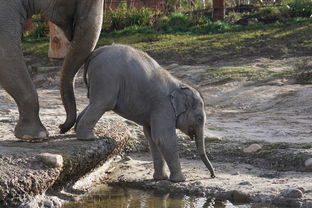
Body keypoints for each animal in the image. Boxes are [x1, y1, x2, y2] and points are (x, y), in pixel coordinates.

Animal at [77, 44, 216, 182]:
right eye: (199, 118)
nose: (212, 175)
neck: (180, 84)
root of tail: (97, 51)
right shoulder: (163, 106)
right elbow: (164, 138)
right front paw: (180, 180)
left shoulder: (154, 111)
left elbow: (152, 138)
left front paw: (161, 178)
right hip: (107, 77)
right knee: (103, 103)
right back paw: (88, 138)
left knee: (94, 103)